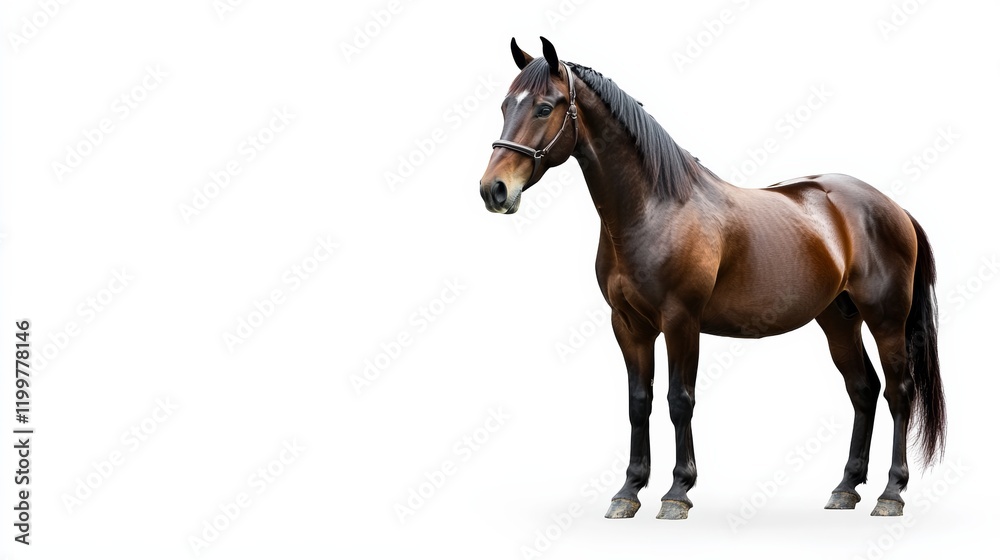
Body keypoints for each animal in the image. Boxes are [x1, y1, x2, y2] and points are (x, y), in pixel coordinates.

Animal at [478, 37, 945, 520]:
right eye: (505, 105)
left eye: (544, 108)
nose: (494, 190)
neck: (655, 207)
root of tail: (893, 207)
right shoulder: (628, 326)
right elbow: (638, 402)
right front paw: (628, 491)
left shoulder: (681, 321)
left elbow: (679, 400)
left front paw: (677, 492)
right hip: (838, 319)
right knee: (863, 389)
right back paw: (846, 488)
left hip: (886, 319)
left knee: (899, 392)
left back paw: (891, 493)